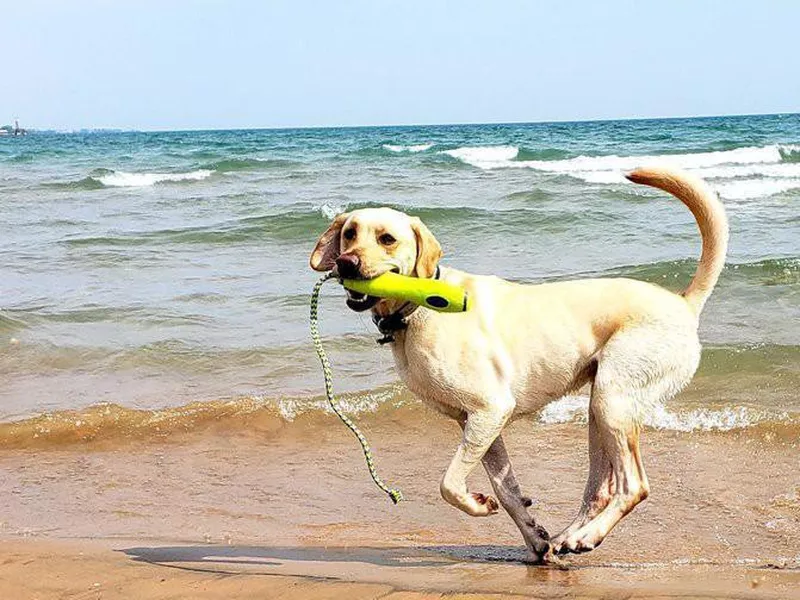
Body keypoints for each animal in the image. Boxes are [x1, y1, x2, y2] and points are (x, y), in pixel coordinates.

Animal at [310, 165, 728, 564]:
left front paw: (478, 505)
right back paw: (568, 538)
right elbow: (505, 487)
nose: (346, 263)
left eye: (387, 238)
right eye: (349, 233)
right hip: (600, 410)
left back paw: (588, 536)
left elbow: (449, 484)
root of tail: (682, 302)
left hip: (613, 400)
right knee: (599, 490)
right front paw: (534, 536)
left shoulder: (490, 410)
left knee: (633, 486)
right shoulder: (476, 423)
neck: (420, 308)